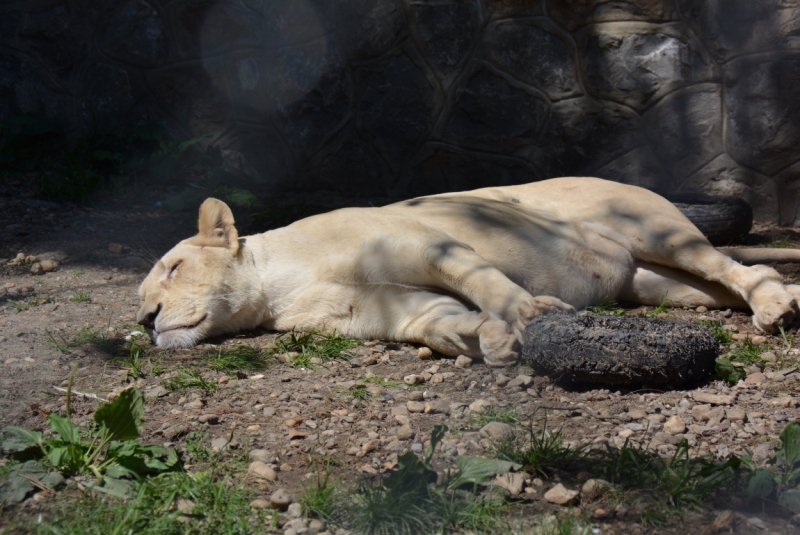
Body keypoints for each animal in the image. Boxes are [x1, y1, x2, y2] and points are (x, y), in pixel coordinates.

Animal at [138, 178, 800, 366]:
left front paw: (528, 315)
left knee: (734, 266)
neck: (278, 284)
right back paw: (779, 302)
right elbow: (434, 319)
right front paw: (486, 339)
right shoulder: (375, 307)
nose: (145, 319)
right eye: (139, 297)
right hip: (660, 285)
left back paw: (775, 308)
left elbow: (484, 281)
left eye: (172, 268)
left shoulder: (427, 243)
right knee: (724, 284)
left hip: (657, 231)